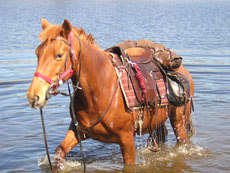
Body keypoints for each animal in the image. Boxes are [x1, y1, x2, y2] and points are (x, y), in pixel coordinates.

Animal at [27, 18, 194, 166]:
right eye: (37, 53)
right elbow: (60, 152)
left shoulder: (127, 140)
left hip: (178, 120)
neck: (100, 90)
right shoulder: (77, 131)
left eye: (59, 55)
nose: (34, 96)